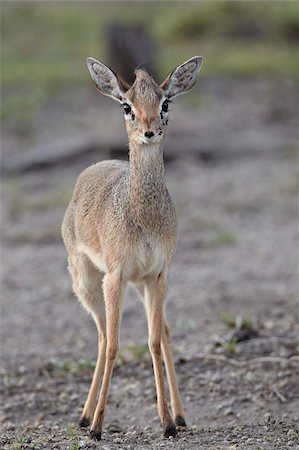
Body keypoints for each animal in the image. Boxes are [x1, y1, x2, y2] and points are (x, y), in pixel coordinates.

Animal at [61, 55, 203, 440]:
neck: (144, 217)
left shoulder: (158, 275)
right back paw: (85, 417)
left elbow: (153, 340)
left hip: (140, 285)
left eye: (165, 102)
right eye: (127, 106)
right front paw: (98, 427)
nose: (149, 130)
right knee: (101, 336)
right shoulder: (115, 277)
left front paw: (167, 422)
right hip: (87, 283)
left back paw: (181, 416)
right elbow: (114, 344)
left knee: (163, 332)